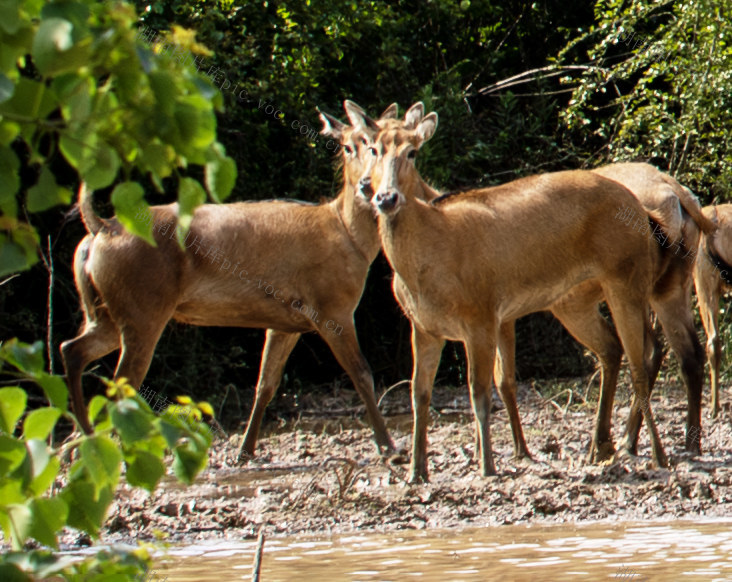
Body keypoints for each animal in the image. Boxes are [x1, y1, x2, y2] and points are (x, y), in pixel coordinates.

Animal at [60, 100, 412, 462]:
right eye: (348, 146)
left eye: (378, 145)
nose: (369, 186)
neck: (348, 235)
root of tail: (101, 229)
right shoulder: (333, 306)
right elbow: (362, 373)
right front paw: (389, 446)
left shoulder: (287, 321)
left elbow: (266, 383)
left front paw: (245, 449)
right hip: (143, 307)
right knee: (120, 381)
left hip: (106, 311)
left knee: (72, 348)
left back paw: (77, 441)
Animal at [363, 107, 669, 482]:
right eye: (373, 148)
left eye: (412, 152)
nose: (384, 197)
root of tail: (645, 214)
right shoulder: (423, 327)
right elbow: (419, 393)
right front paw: (416, 472)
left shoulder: (480, 315)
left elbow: (479, 391)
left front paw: (487, 466)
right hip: (574, 301)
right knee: (613, 348)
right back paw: (601, 448)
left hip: (626, 277)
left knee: (641, 359)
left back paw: (653, 454)